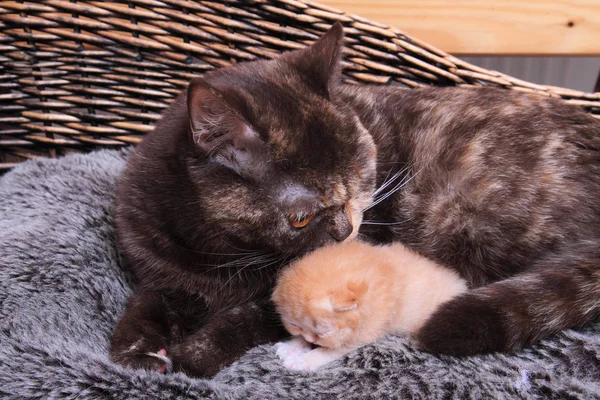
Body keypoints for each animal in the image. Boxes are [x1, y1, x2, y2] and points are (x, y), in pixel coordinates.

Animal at [274, 239, 468, 370]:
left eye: (324, 331)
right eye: (294, 326)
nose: (311, 340)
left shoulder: (358, 337)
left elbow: (325, 352)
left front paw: (302, 360)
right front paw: (293, 346)